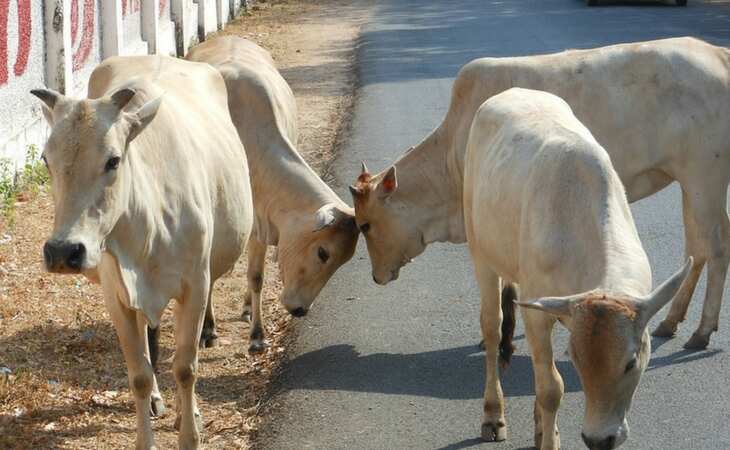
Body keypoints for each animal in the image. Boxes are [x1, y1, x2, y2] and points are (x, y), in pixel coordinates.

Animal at [32, 54, 254, 449]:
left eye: (113, 160)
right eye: (46, 160)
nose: (62, 251)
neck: (147, 227)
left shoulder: (195, 286)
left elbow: (185, 366)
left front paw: (190, 433)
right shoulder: (116, 296)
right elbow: (139, 374)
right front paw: (146, 434)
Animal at [186, 36, 359, 353]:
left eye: (344, 260)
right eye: (323, 252)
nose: (300, 310)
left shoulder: (260, 223)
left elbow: (256, 276)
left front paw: (257, 335)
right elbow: (211, 274)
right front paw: (207, 329)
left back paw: (245, 308)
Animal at [351, 37, 729, 350]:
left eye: (365, 225)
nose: (376, 277)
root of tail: (718, 54)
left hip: (704, 177)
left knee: (715, 246)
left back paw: (701, 331)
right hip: (690, 182)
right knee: (696, 248)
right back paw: (671, 321)